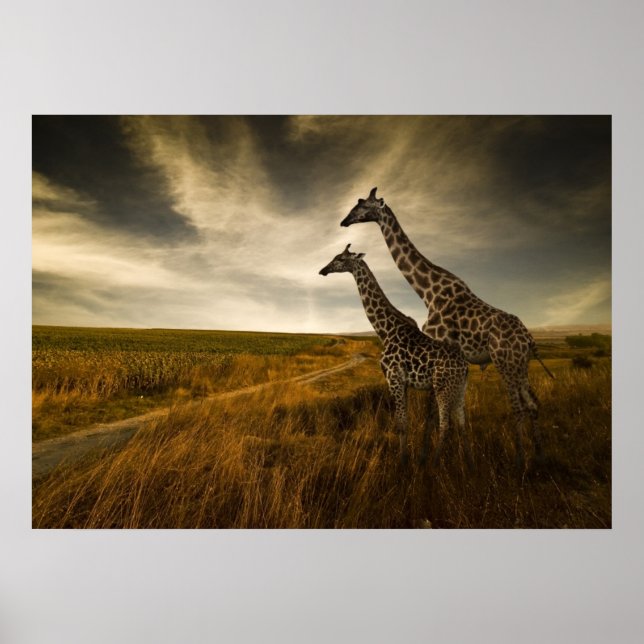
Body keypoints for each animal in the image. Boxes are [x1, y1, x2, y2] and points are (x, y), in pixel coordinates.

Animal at [319, 244, 469, 467]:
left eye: (340, 259)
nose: (323, 270)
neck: (385, 330)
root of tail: (465, 367)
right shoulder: (403, 383)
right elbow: (403, 421)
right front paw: (405, 458)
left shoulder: (394, 378)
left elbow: (401, 423)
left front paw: (402, 462)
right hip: (459, 390)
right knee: (462, 424)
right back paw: (467, 460)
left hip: (443, 388)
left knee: (445, 425)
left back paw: (434, 462)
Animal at [340, 188, 555, 468]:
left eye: (362, 205)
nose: (344, 221)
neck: (427, 291)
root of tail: (529, 338)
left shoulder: (438, 346)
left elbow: (432, 412)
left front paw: (427, 457)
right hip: (520, 365)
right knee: (533, 403)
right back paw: (539, 456)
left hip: (505, 362)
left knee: (518, 406)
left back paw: (520, 460)